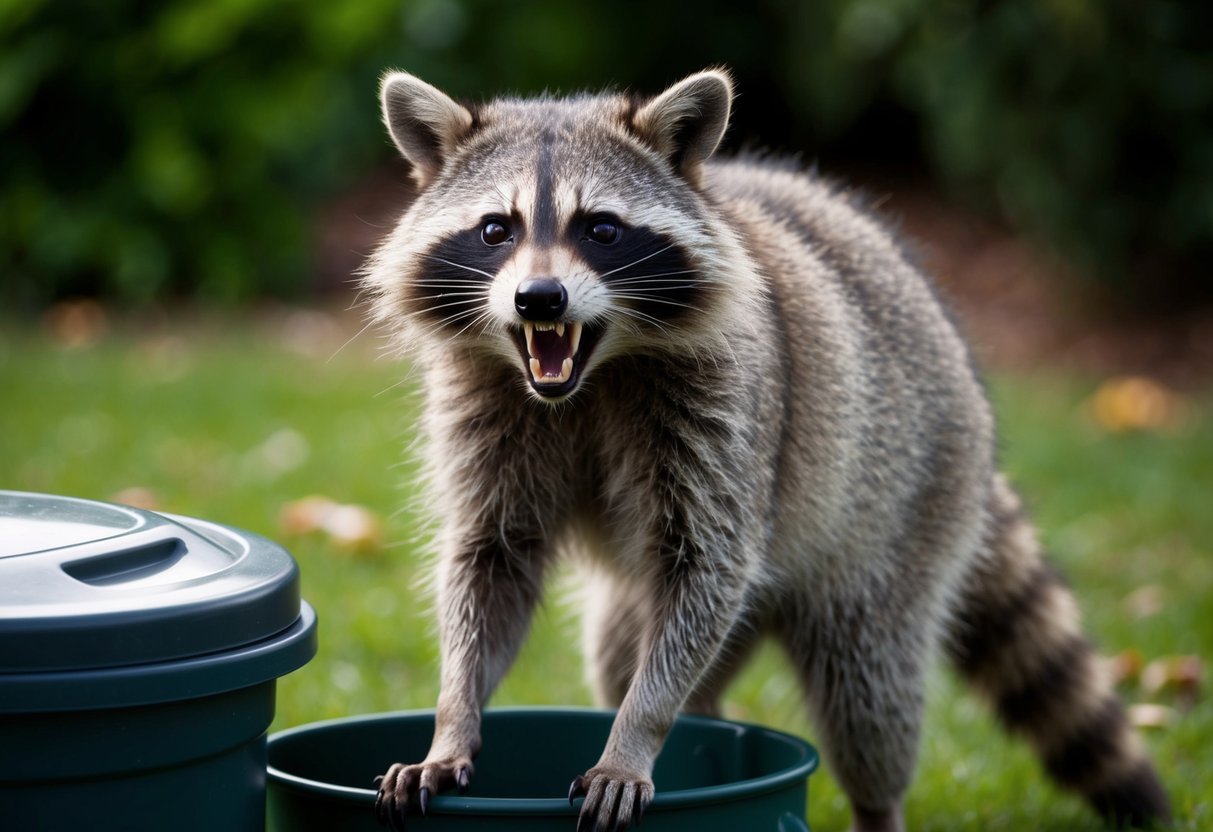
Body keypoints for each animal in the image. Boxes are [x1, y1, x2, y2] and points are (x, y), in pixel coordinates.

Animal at [363, 69, 1171, 831]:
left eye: (601, 229)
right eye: (495, 229)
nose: (539, 299)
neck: (589, 375)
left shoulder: (727, 412)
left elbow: (707, 566)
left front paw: (633, 736)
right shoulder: (487, 409)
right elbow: (491, 560)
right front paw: (453, 719)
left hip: (907, 510)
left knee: (867, 691)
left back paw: (875, 804)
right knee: (623, 652)